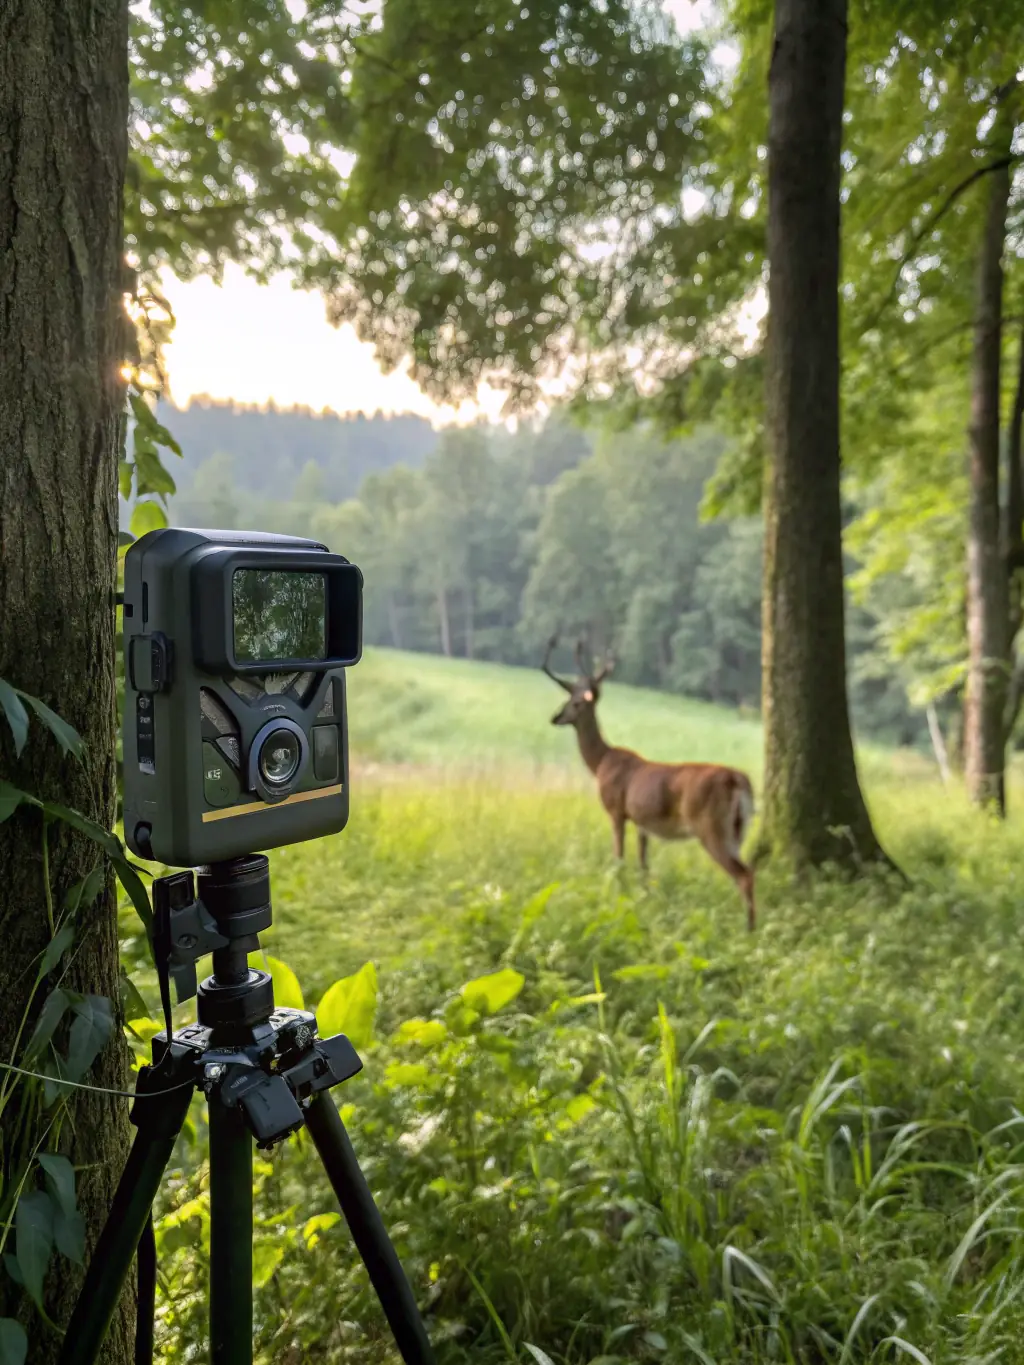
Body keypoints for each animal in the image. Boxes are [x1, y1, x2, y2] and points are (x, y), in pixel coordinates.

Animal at [542, 636, 757, 930]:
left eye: (575, 702)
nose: (555, 717)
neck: (601, 763)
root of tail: (737, 779)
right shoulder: (642, 823)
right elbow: (644, 866)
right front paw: (644, 900)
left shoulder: (616, 811)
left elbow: (619, 859)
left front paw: (617, 895)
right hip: (738, 829)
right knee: (749, 870)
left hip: (711, 826)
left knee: (744, 875)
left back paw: (748, 930)